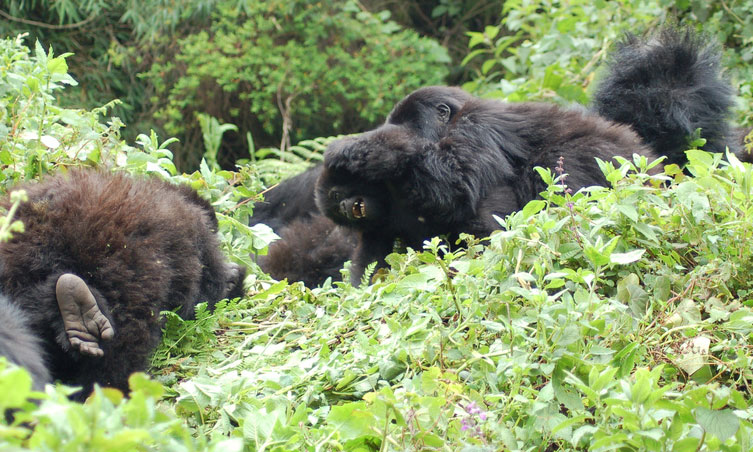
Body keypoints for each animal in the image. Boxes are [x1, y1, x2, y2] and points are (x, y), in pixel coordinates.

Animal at [312, 27, 748, 286]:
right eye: (338, 201)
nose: (348, 205)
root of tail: (653, 155)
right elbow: (373, 258)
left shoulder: (475, 128)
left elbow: (456, 187)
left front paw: (370, 147)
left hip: (626, 169)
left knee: (560, 164)